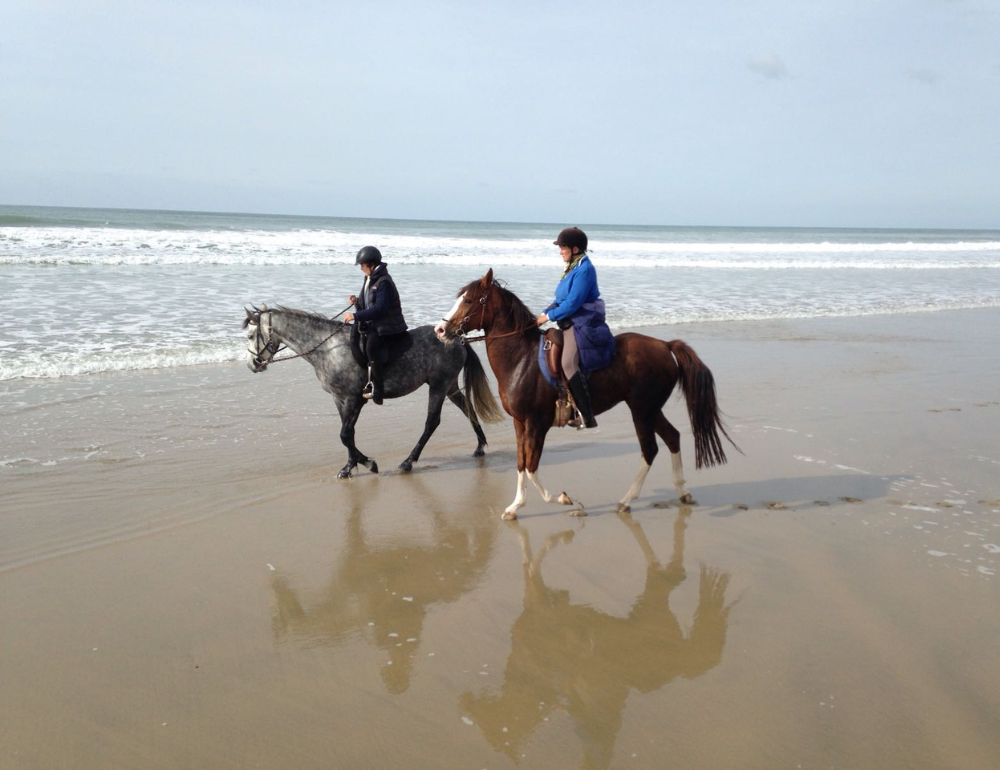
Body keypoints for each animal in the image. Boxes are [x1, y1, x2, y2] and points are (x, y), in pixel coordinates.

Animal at [246, 304, 504, 474]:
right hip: (449, 385)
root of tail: (458, 340)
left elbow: (345, 434)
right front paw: (350, 466)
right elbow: (347, 433)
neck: (328, 349)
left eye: (250, 335)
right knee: (467, 408)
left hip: (439, 386)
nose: (252, 364)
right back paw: (480, 446)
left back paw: (408, 462)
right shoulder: (340, 399)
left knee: (432, 422)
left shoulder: (354, 399)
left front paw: (368, 463)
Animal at [434, 268, 740, 516]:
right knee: (672, 437)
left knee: (650, 449)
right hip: (651, 409)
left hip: (642, 410)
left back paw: (627, 500)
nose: (440, 329)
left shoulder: (537, 424)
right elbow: (521, 464)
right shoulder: (520, 423)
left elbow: (532, 467)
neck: (521, 358)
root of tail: (665, 345)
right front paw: (514, 507)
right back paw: (681, 491)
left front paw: (565, 499)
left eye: (469, 301)